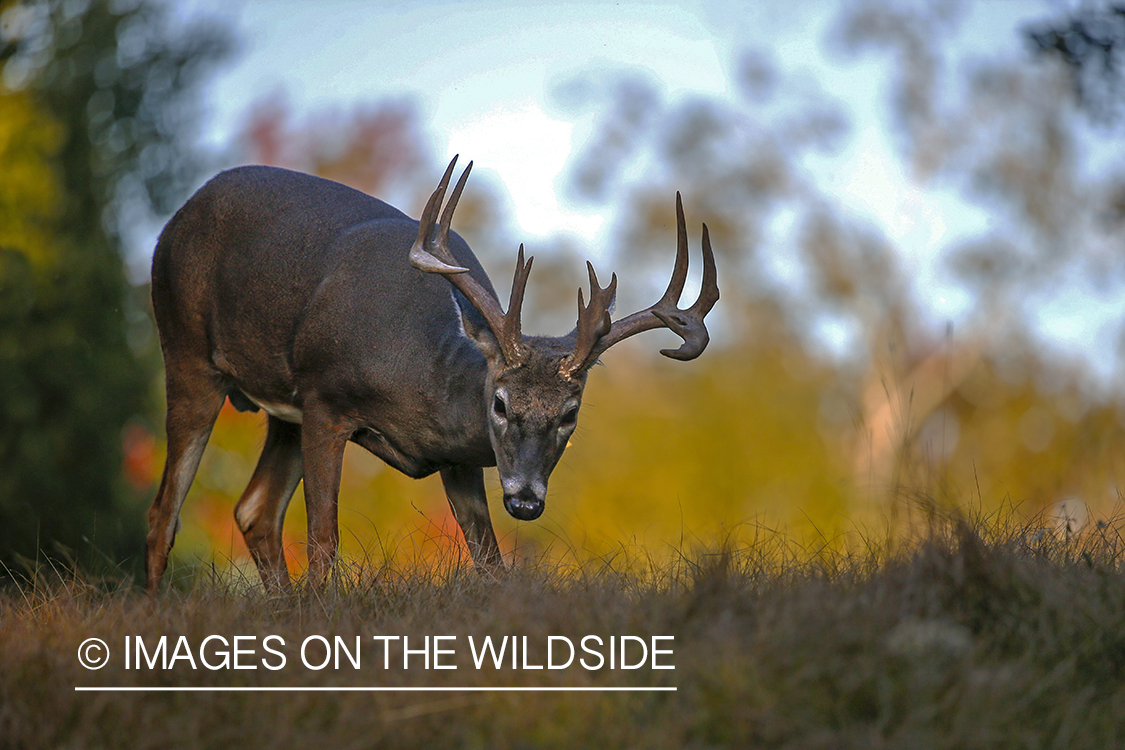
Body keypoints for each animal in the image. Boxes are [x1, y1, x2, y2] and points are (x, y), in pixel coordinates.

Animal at [145, 157, 715, 593]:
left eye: (570, 413)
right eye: (500, 403)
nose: (526, 501)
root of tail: (176, 219)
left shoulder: (457, 461)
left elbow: (490, 560)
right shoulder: (325, 400)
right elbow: (324, 541)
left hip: (280, 414)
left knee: (253, 511)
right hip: (187, 350)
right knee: (164, 513)